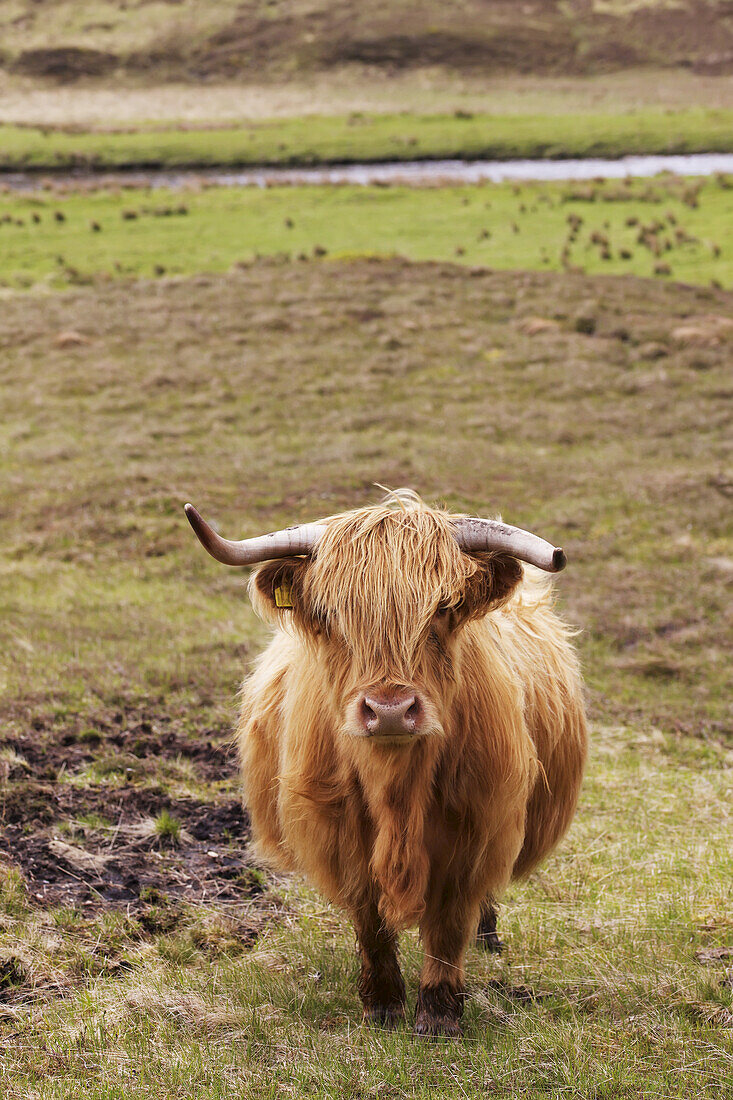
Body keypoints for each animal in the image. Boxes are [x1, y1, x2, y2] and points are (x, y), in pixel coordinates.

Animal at [186, 495, 585, 1034]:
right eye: (332, 614)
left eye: (443, 608)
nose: (390, 710)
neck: (398, 791)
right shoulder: (341, 831)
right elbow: (370, 920)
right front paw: (382, 1005)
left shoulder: (475, 826)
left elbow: (448, 924)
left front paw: (439, 1013)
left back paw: (488, 938)